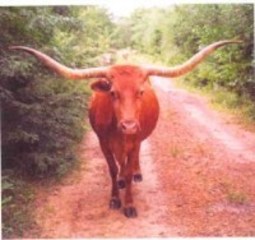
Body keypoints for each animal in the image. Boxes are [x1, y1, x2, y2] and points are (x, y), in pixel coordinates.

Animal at [9, 39, 241, 218]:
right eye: (113, 92)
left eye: (140, 92)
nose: (129, 125)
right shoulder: (103, 142)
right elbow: (113, 169)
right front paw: (115, 198)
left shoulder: (135, 140)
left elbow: (129, 170)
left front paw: (129, 203)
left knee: (134, 160)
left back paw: (136, 173)